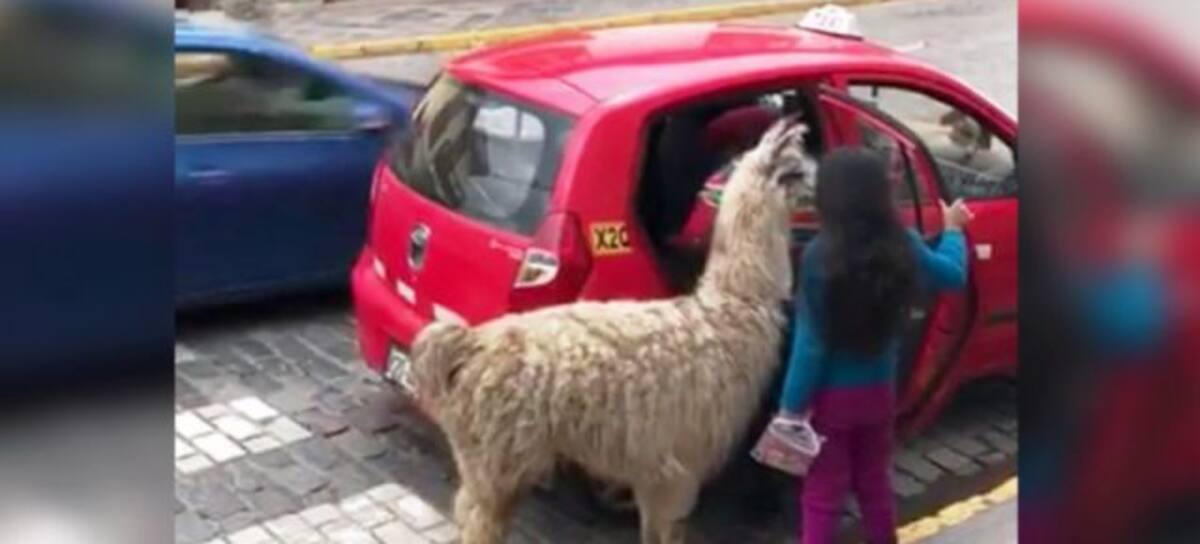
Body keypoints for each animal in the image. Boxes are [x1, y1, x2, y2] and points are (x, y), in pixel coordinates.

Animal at [402, 119, 817, 544]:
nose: (821, 191)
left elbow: (653, 530)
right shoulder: (683, 461)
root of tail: (470, 345)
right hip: (501, 454)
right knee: (482, 523)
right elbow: (669, 531)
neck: (730, 307)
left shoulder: (655, 463)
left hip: (482, 456)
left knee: (464, 508)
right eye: (799, 171)